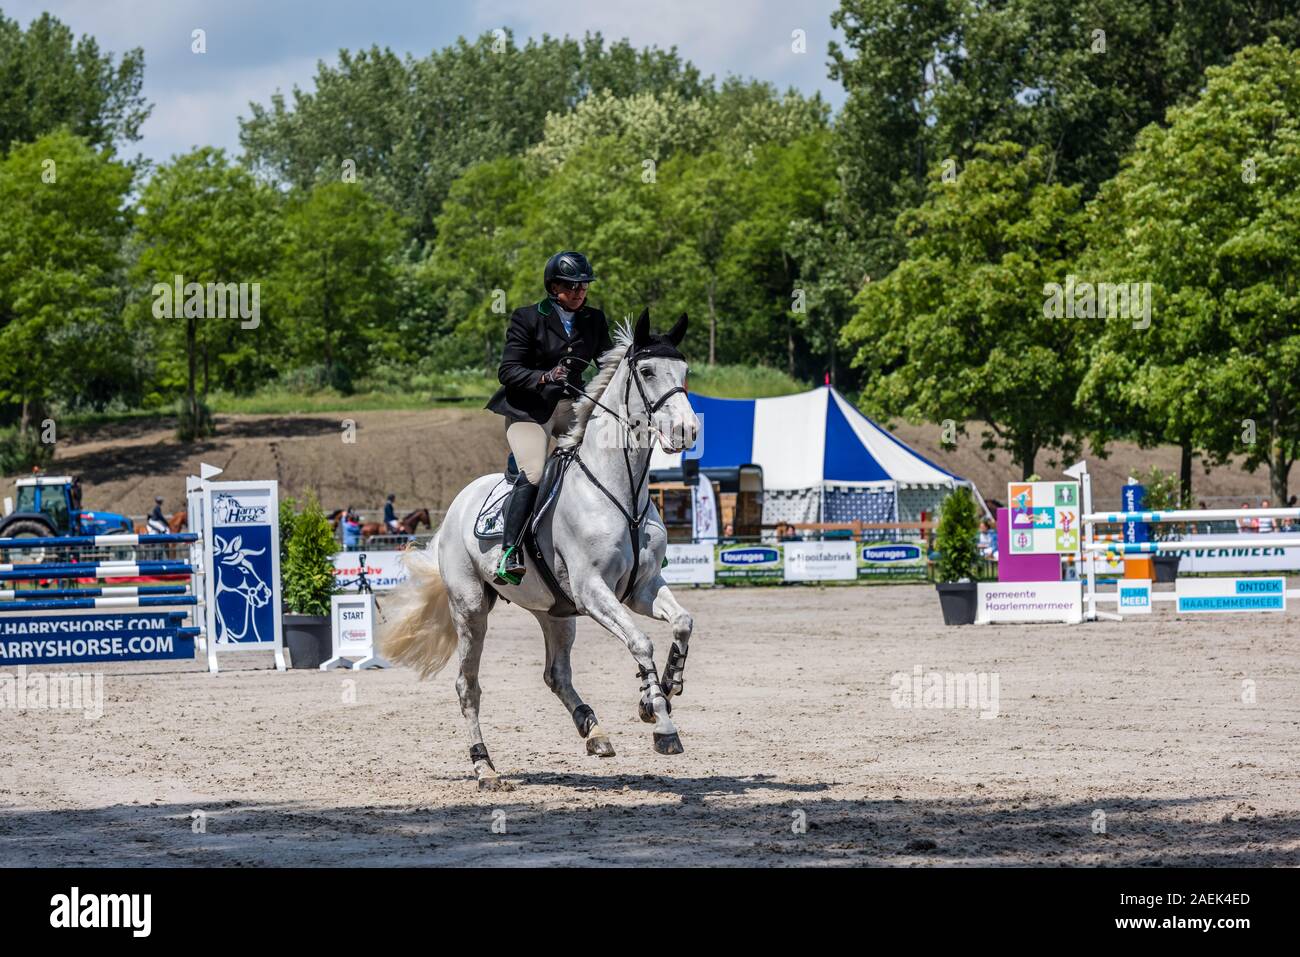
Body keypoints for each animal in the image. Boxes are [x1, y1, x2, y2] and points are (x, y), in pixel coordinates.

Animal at [377, 310, 702, 790]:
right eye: (646, 371)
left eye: (684, 371)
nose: (686, 431)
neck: (621, 491)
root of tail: (456, 506)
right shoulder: (593, 591)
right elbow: (640, 642)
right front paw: (660, 720)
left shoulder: (641, 589)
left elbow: (682, 622)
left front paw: (669, 686)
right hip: (471, 608)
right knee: (467, 685)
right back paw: (485, 768)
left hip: (556, 612)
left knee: (556, 673)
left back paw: (594, 732)